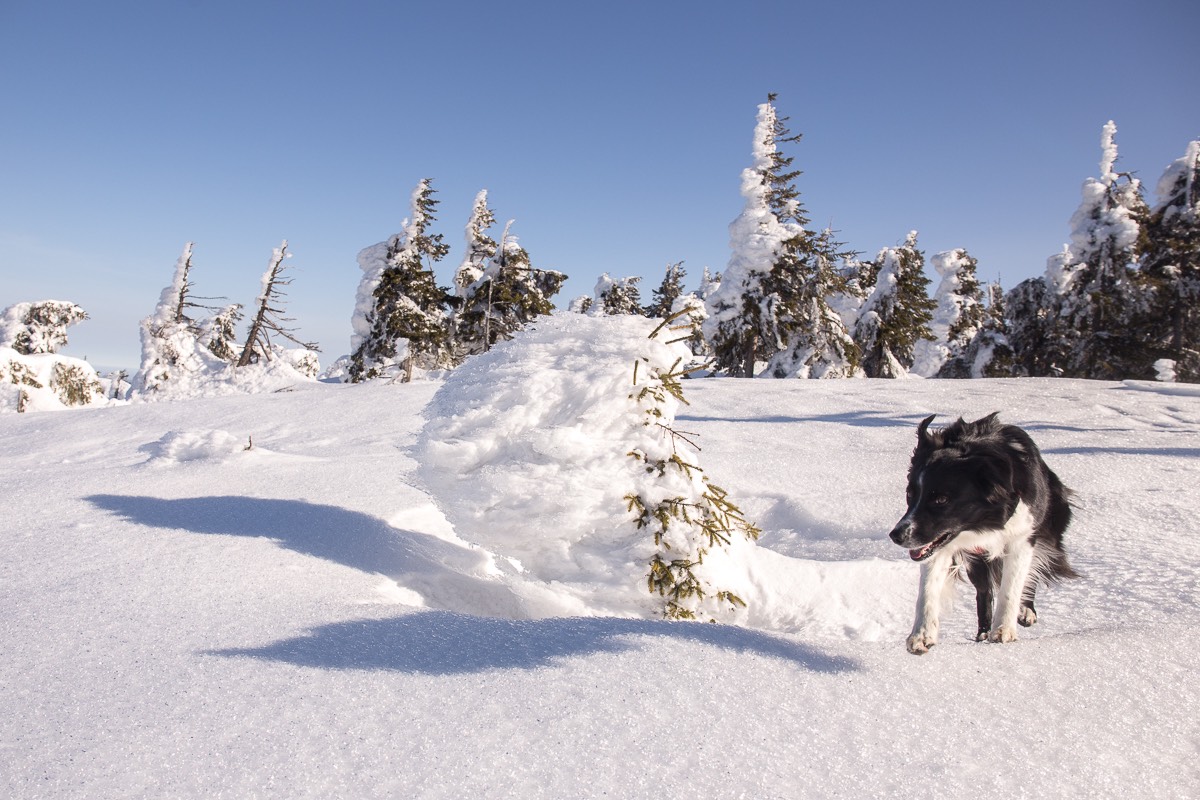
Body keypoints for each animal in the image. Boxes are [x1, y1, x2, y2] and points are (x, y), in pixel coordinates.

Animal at [888, 417, 1075, 652]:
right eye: (909, 494)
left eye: (941, 499)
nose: (896, 535)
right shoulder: (940, 544)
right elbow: (928, 590)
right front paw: (921, 635)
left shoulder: (1022, 537)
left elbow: (1011, 587)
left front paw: (1004, 631)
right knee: (984, 591)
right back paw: (982, 634)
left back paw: (1024, 612)